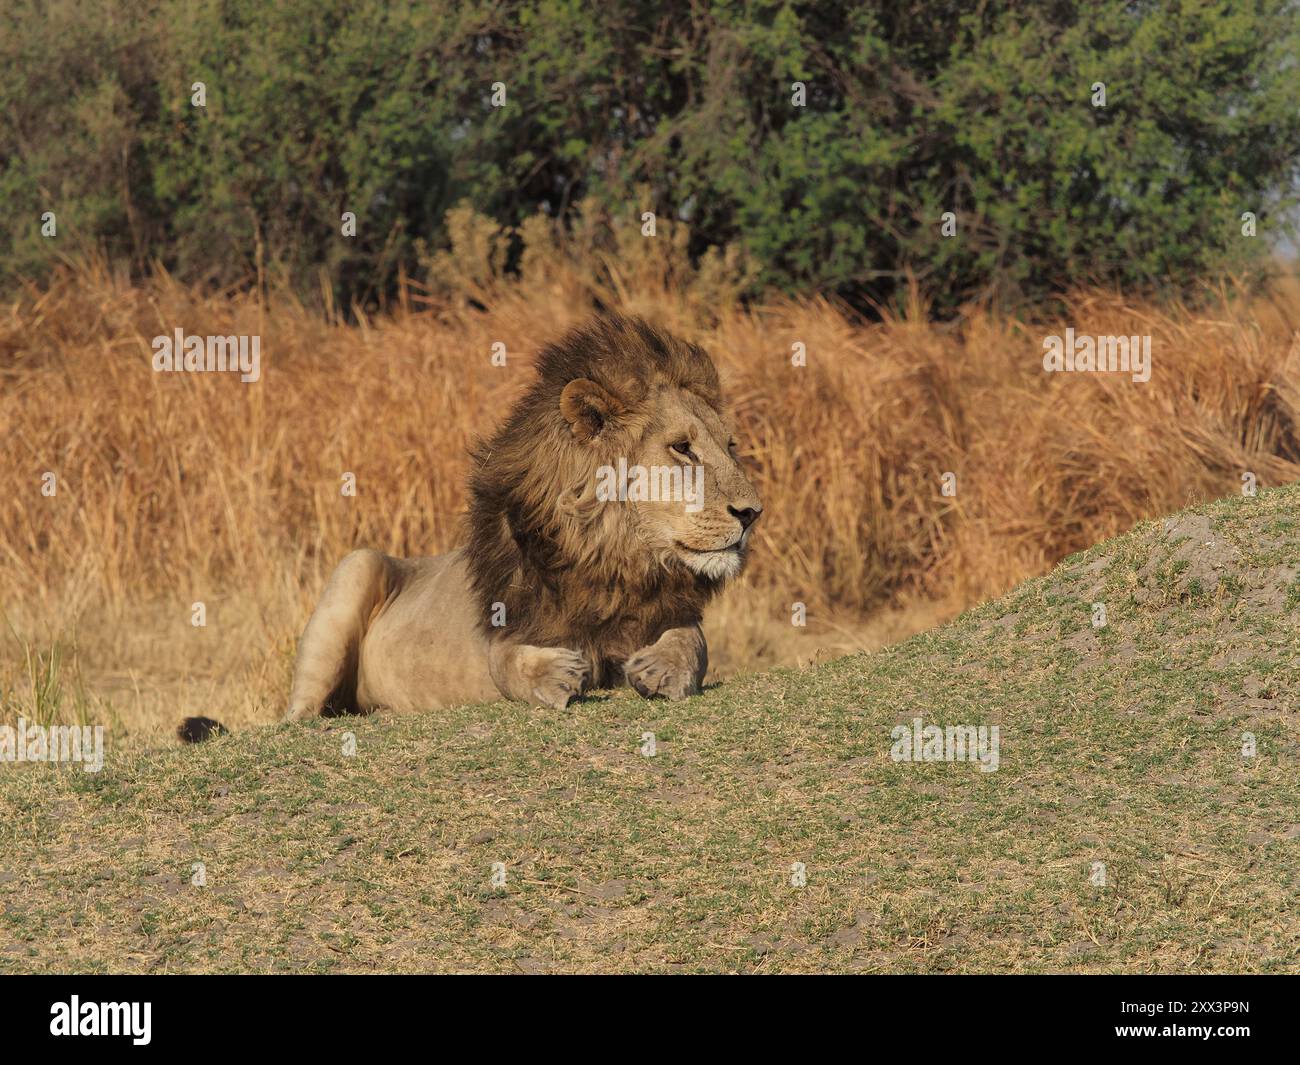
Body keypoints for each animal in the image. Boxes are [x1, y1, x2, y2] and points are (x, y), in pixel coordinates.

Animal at [175, 312, 759, 738]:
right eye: (681, 449)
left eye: (729, 446)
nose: (752, 513)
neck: (614, 558)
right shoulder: (507, 624)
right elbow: (506, 662)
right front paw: (556, 675)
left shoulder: (668, 612)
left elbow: (693, 642)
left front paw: (663, 669)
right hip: (355, 568)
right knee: (296, 718)